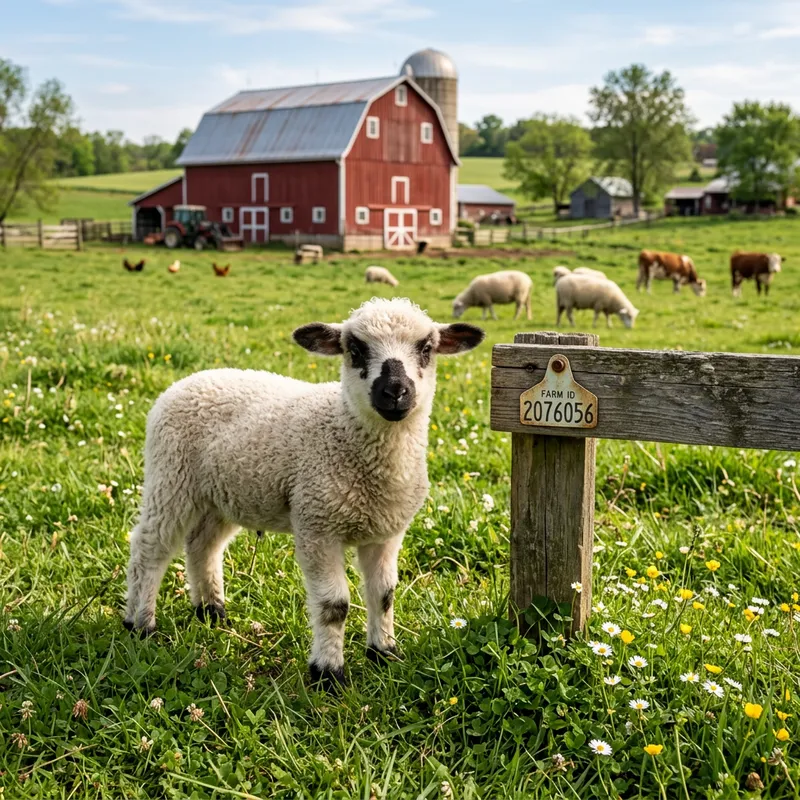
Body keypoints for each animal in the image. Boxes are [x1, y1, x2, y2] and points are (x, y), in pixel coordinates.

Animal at [123, 298, 484, 690]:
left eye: (426, 349)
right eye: (355, 350)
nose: (395, 392)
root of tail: (188, 381)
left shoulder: (387, 532)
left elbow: (384, 595)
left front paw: (384, 654)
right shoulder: (317, 525)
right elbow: (333, 606)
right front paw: (328, 674)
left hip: (221, 494)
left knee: (203, 545)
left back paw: (212, 612)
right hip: (171, 478)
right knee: (150, 547)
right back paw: (140, 624)